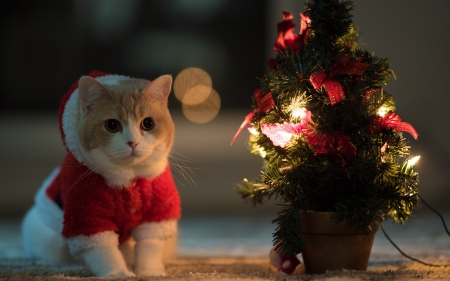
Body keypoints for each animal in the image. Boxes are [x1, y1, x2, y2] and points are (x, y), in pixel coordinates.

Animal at [20, 71, 179, 276]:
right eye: (112, 125)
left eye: (148, 123)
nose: (133, 142)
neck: (127, 180)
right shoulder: (87, 217)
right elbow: (104, 252)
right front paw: (119, 273)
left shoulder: (157, 213)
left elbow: (150, 246)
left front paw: (149, 272)